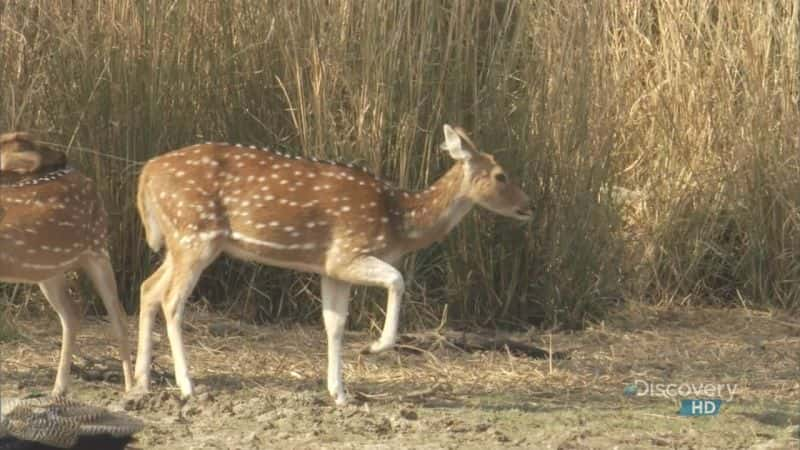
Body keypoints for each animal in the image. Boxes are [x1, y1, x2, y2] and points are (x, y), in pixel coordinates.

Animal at [0, 131, 133, 394]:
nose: (63, 156)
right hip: (49, 270)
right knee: (71, 314)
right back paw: (59, 388)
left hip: (98, 248)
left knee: (119, 317)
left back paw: (133, 388)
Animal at [135, 124, 536, 404]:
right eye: (501, 175)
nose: (528, 206)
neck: (399, 221)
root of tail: (146, 174)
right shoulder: (348, 252)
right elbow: (397, 279)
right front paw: (374, 348)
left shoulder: (329, 268)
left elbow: (334, 324)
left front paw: (340, 394)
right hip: (195, 234)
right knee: (172, 300)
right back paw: (188, 387)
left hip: (178, 243)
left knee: (148, 288)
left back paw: (140, 382)